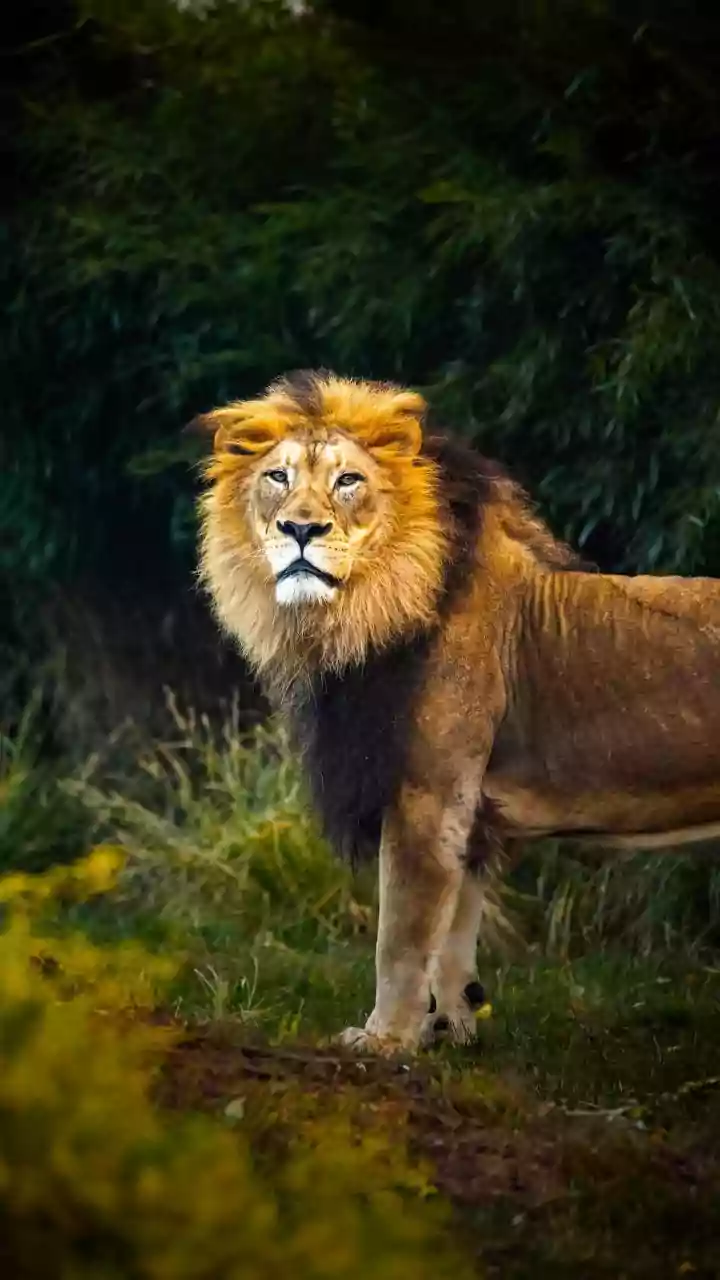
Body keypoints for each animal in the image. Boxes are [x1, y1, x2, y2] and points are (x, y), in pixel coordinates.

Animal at [197, 369, 720, 1055]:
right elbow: (453, 935)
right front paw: (447, 1028)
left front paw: (382, 1040)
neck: (360, 611)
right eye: (277, 477)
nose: (300, 530)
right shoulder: (467, 819)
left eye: (348, 481)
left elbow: (402, 933)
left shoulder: (426, 793)